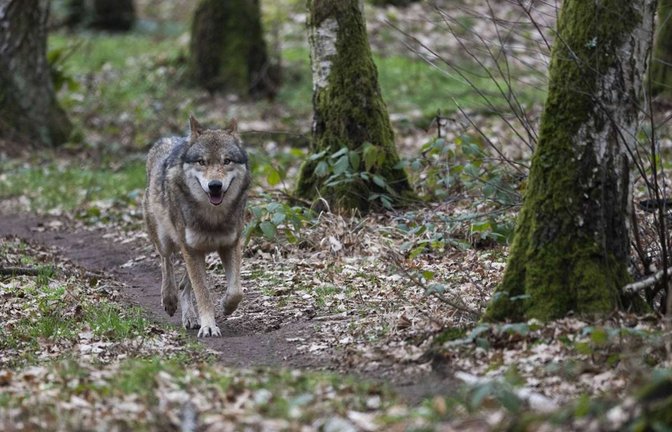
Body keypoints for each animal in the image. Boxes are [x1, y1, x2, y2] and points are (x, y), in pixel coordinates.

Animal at [143, 115, 251, 337]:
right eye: (202, 162)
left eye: (227, 161)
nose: (215, 185)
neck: (212, 217)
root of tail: (167, 138)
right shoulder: (191, 248)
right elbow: (203, 293)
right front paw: (209, 326)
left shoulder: (230, 244)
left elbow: (236, 290)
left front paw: (226, 306)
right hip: (168, 241)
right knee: (166, 263)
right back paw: (169, 300)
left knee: (184, 284)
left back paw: (190, 318)